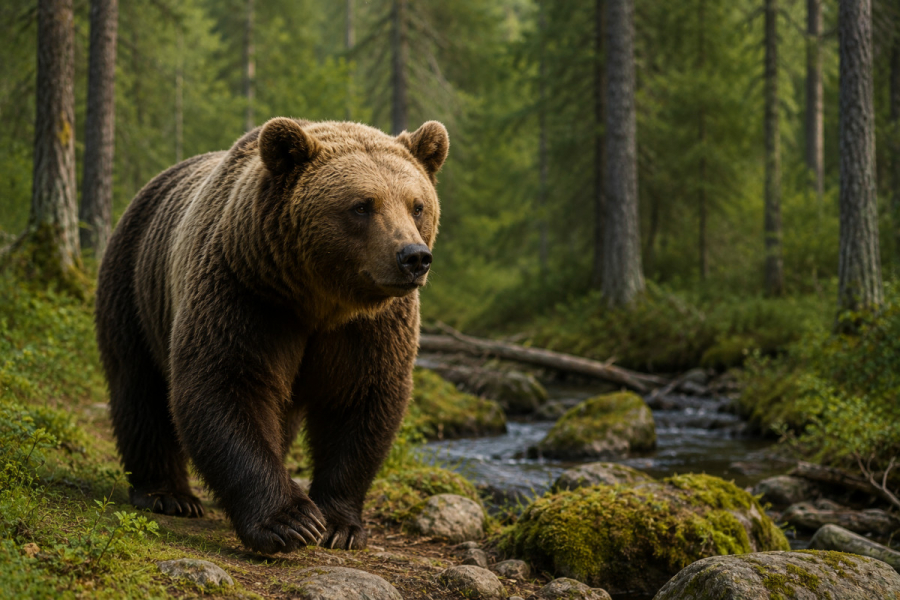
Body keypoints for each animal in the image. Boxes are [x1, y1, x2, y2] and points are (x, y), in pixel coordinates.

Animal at [95, 118, 449, 554]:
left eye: (417, 205)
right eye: (362, 205)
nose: (413, 257)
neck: (321, 302)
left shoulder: (370, 327)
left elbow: (360, 402)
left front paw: (339, 525)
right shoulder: (247, 294)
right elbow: (226, 384)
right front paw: (290, 521)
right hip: (136, 287)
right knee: (139, 388)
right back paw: (167, 494)